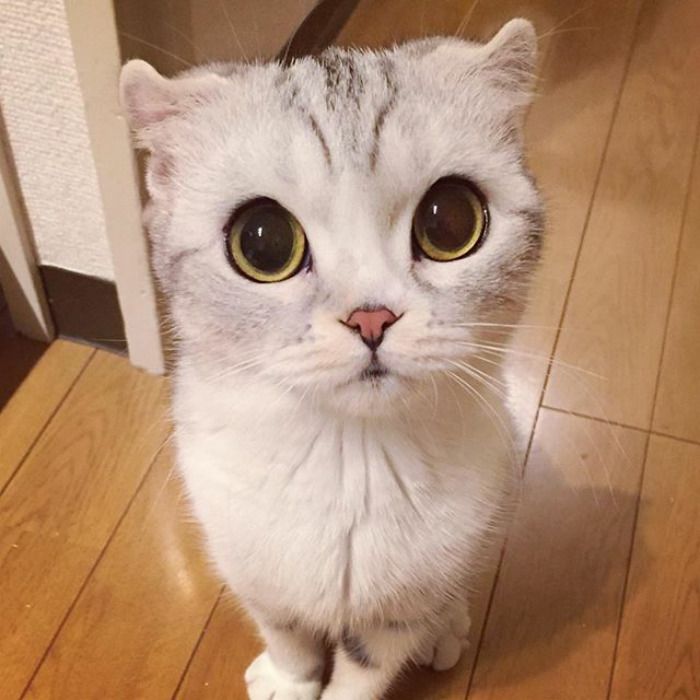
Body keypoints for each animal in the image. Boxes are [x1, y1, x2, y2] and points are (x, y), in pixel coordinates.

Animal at [121, 17, 540, 700]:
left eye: (449, 221)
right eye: (263, 241)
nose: (371, 317)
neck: (349, 459)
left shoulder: (399, 612)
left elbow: (363, 673)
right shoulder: (257, 576)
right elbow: (288, 636)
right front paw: (287, 680)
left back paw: (447, 633)